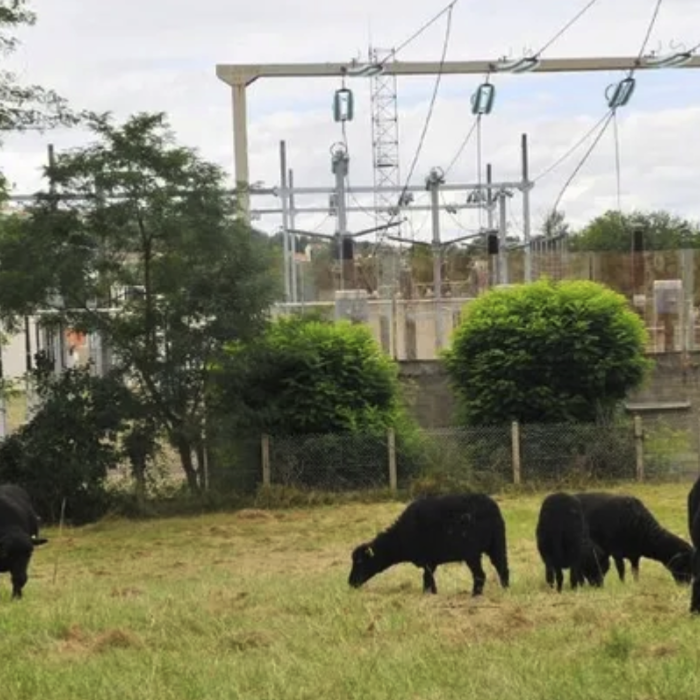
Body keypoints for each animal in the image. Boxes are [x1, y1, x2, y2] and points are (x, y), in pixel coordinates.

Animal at [348, 492, 508, 596]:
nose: (350, 582)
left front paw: (427, 595)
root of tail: (493, 508)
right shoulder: (431, 561)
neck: (400, 538)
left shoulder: (427, 560)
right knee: (502, 567)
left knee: (480, 575)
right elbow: (429, 579)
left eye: (360, 562)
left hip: (472, 552)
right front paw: (432, 594)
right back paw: (505, 590)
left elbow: (427, 579)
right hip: (496, 544)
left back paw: (475, 596)